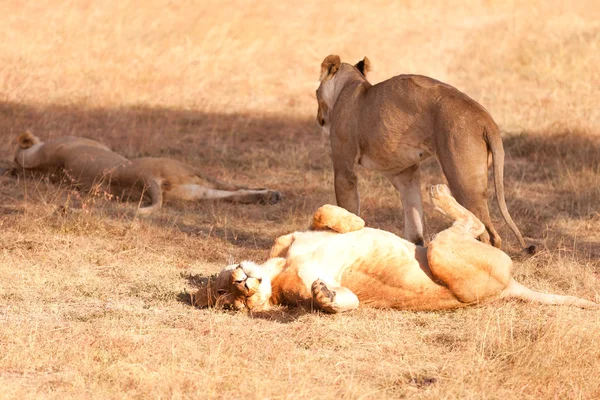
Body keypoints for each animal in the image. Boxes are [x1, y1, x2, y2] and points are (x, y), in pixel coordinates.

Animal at [13, 132, 282, 214]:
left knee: (230, 194)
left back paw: (269, 197)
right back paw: (272, 194)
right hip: (188, 170)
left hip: (190, 188)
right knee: (231, 188)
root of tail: (145, 180)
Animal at [195, 184, 596, 312]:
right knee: (472, 226)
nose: (241, 282)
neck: (275, 271)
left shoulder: (298, 234)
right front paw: (326, 296)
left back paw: (438, 192)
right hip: (443, 254)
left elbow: (326, 210)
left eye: (223, 289)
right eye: (232, 302)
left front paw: (351, 222)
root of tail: (506, 289)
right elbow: (341, 301)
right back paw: (439, 193)